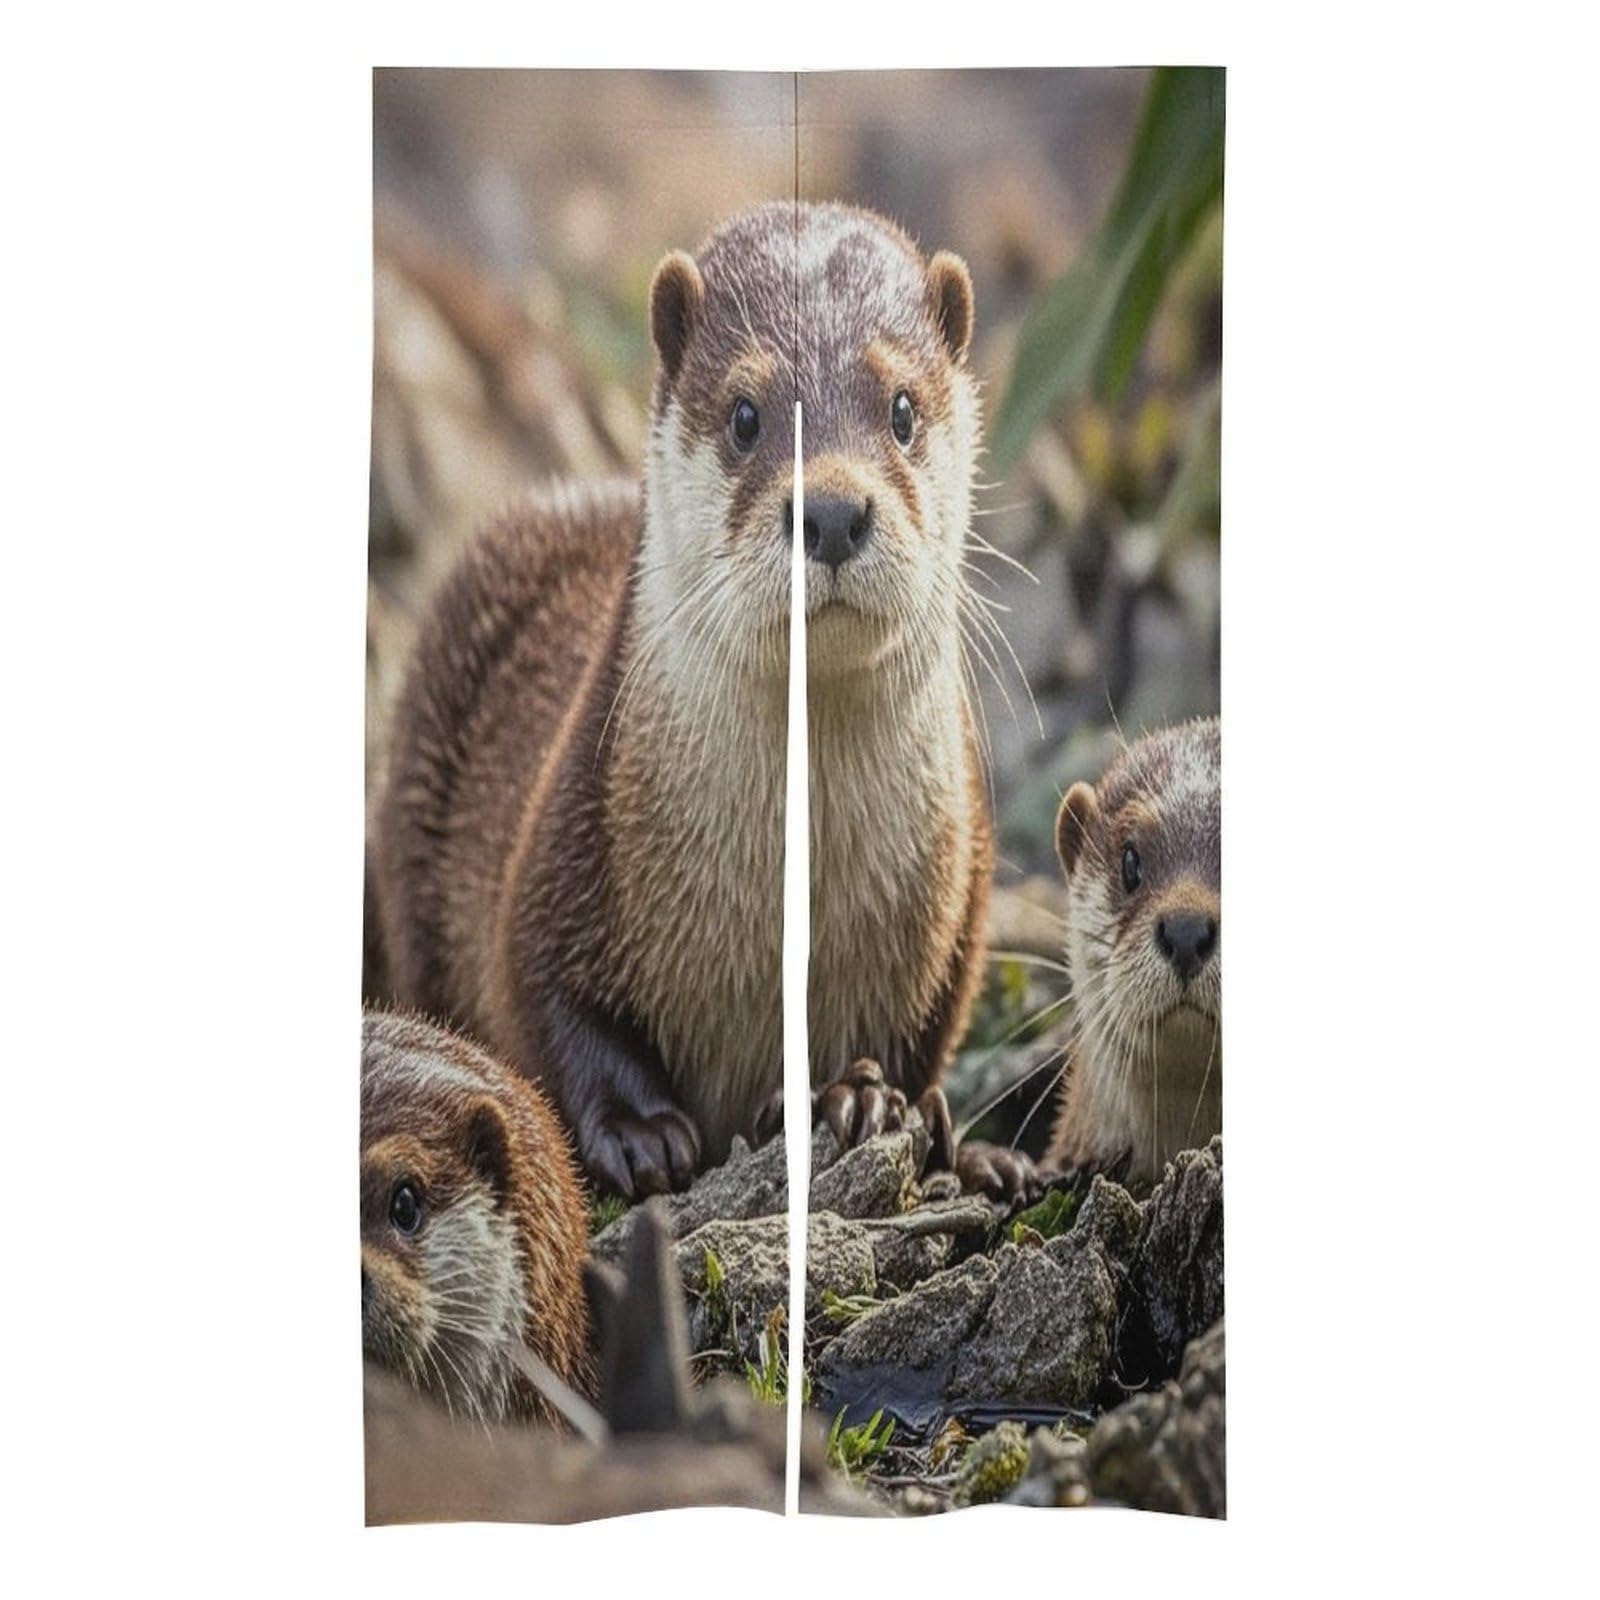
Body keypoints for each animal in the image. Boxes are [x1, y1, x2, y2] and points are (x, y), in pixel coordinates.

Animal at [372, 202, 1002, 1198]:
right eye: (745, 415)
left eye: (902, 408)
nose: (832, 511)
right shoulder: (566, 839)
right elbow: (545, 999)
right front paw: (639, 1132)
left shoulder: (957, 893)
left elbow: (917, 1038)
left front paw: (860, 1098)